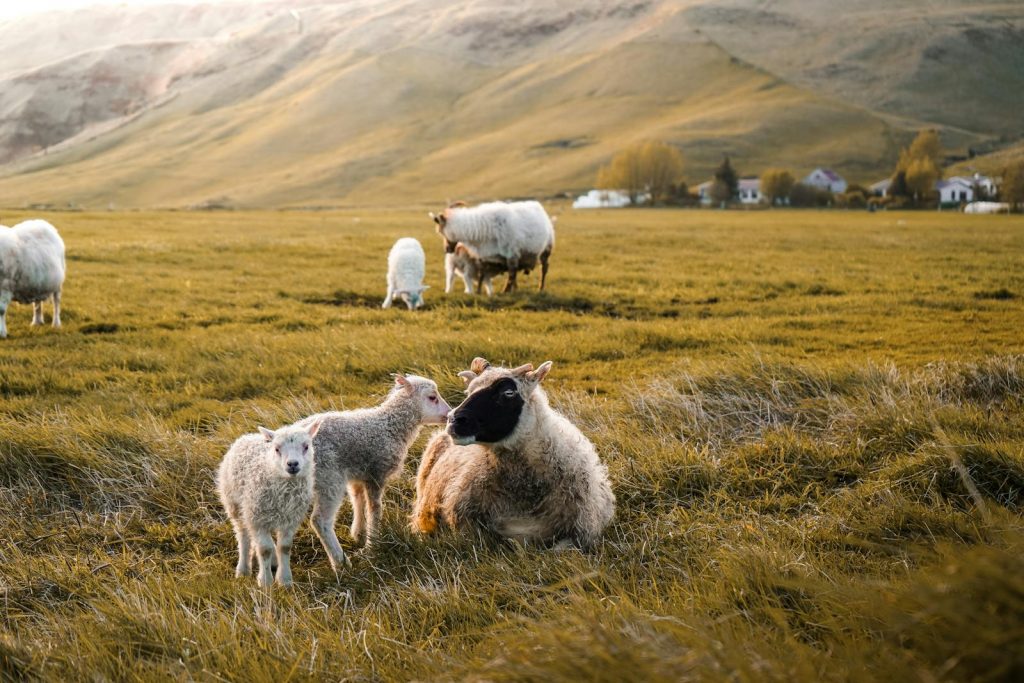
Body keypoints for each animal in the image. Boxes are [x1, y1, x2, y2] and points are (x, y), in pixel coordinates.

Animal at [217, 419, 323, 588]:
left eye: (306, 446)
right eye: (277, 449)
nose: (292, 464)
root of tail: (247, 436)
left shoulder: (290, 519)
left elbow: (284, 547)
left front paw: (285, 580)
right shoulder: (257, 518)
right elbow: (264, 549)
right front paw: (265, 582)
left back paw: (271, 562)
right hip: (235, 504)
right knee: (243, 535)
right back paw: (243, 569)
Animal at [298, 374, 452, 571]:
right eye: (432, 397)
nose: (450, 414)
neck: (390, 426)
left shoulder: (357, 473)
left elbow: (358, 501)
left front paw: (359, 533)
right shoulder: (376, 472)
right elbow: (375, 508)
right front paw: (373, 544)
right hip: (328, 477)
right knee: (320, 521)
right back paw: (341, 563)